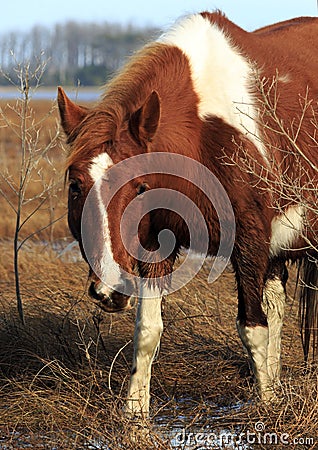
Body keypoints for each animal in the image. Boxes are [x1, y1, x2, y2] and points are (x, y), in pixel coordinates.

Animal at [57, 11, 318, 418]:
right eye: (75, 186)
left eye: (140, 187)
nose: (110, 289)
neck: (203, 135)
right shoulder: (154, 246)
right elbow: (147, 331)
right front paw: (135, 413)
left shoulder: (250, 244)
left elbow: (252, 327)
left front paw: (265, 410)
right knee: (277, 306)